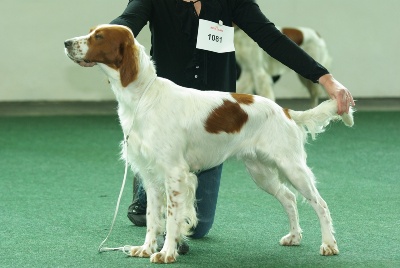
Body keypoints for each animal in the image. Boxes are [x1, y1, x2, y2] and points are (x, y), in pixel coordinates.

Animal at [65, 23, 354, 264]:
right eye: (90, 32)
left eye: (99, 37)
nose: (67, 42)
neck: (143, 97)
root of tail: (286, 112)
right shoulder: (151, 175)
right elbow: (152, 218)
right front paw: (147, 249)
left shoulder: (175, 173)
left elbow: (172, 218)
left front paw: (166, 253)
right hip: (261, 172)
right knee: (289, 198)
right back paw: (294, 237)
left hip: (292, 166)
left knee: (319, 203)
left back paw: (329, 244)